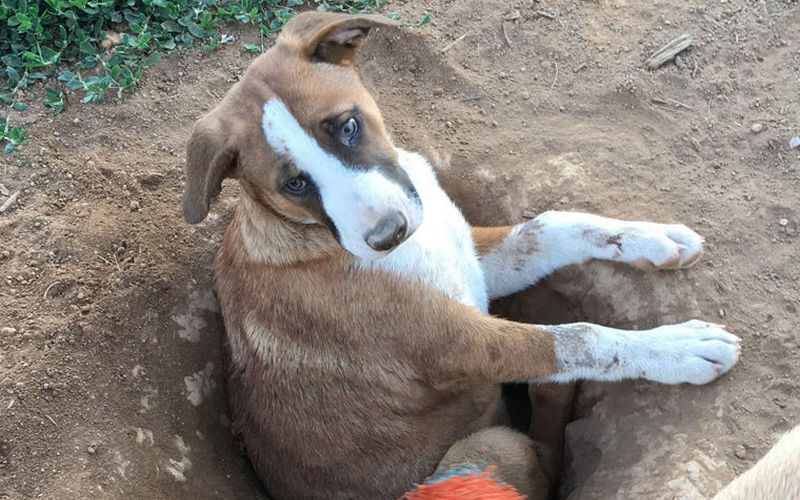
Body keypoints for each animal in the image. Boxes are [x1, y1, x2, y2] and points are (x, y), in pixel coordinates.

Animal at [183, 12, 744, 500]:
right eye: (294, 184)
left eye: (347, 126)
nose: (388, 235)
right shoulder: (459, 345)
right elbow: (576, 338)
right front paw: (678, 347)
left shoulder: (473, 264)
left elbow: (550, 226)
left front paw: (652, 237)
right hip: (487, 445)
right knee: (543, 450)